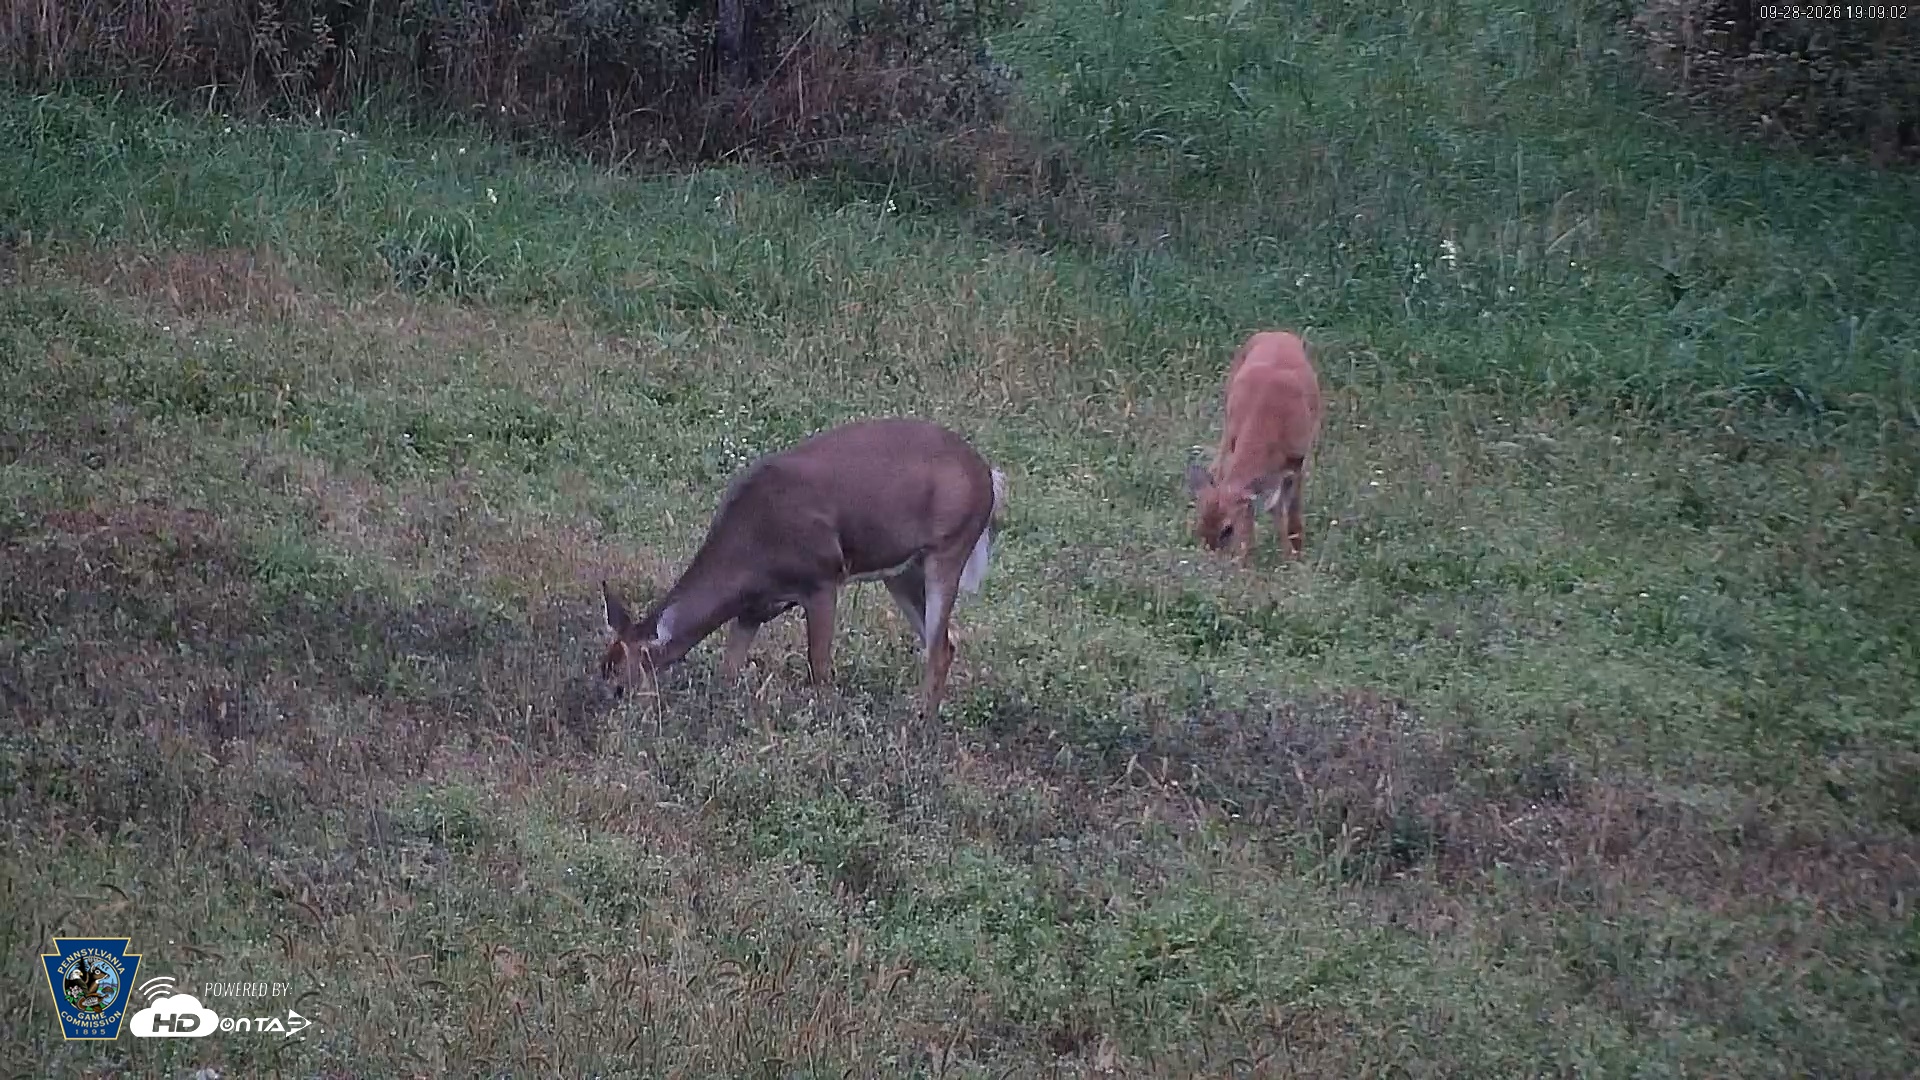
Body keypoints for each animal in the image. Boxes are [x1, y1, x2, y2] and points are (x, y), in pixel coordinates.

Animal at [599, 417, 1008, 721]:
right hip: (901, 572)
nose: (612, 710)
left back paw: (918, 725)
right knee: (945, 643)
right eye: (604, 667)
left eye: (620, 681)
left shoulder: (823, 577)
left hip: (949, 548)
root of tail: (989, 475)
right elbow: (729, 670)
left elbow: (820, 666)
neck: (751, 549)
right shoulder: (754, 608)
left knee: (938, 648)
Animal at [1186, 330, 1325, 564]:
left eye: (1227, 529)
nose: (1213, 562)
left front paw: (1294, 553)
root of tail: (1277, 332)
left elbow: (1286, 509)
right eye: (1199, 525)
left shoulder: (1297, 459)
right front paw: (1246, 556)